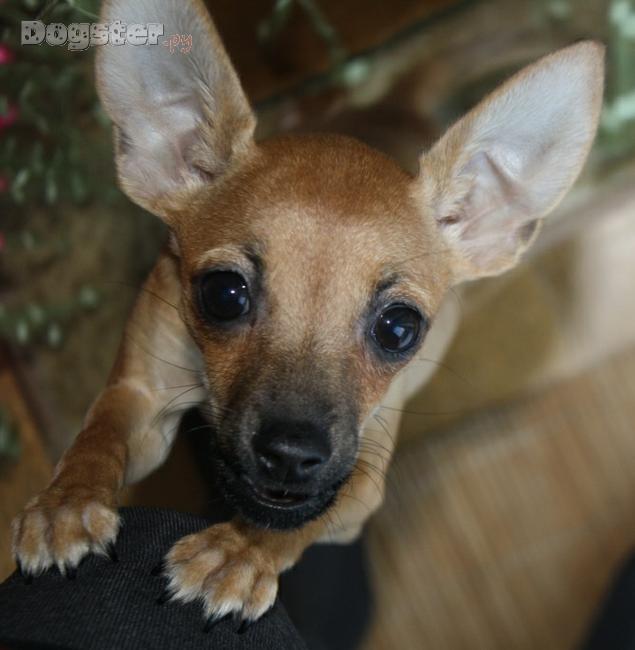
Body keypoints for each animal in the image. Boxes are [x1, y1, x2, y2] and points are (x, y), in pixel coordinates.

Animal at [12, 0, 604, 630]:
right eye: (224, 294)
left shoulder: (361, 477)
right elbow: (97, 439)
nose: (291, 455)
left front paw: (240, 552)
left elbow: (305, 515)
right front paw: (66, 505)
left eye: (399, 329)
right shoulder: (139, 395)